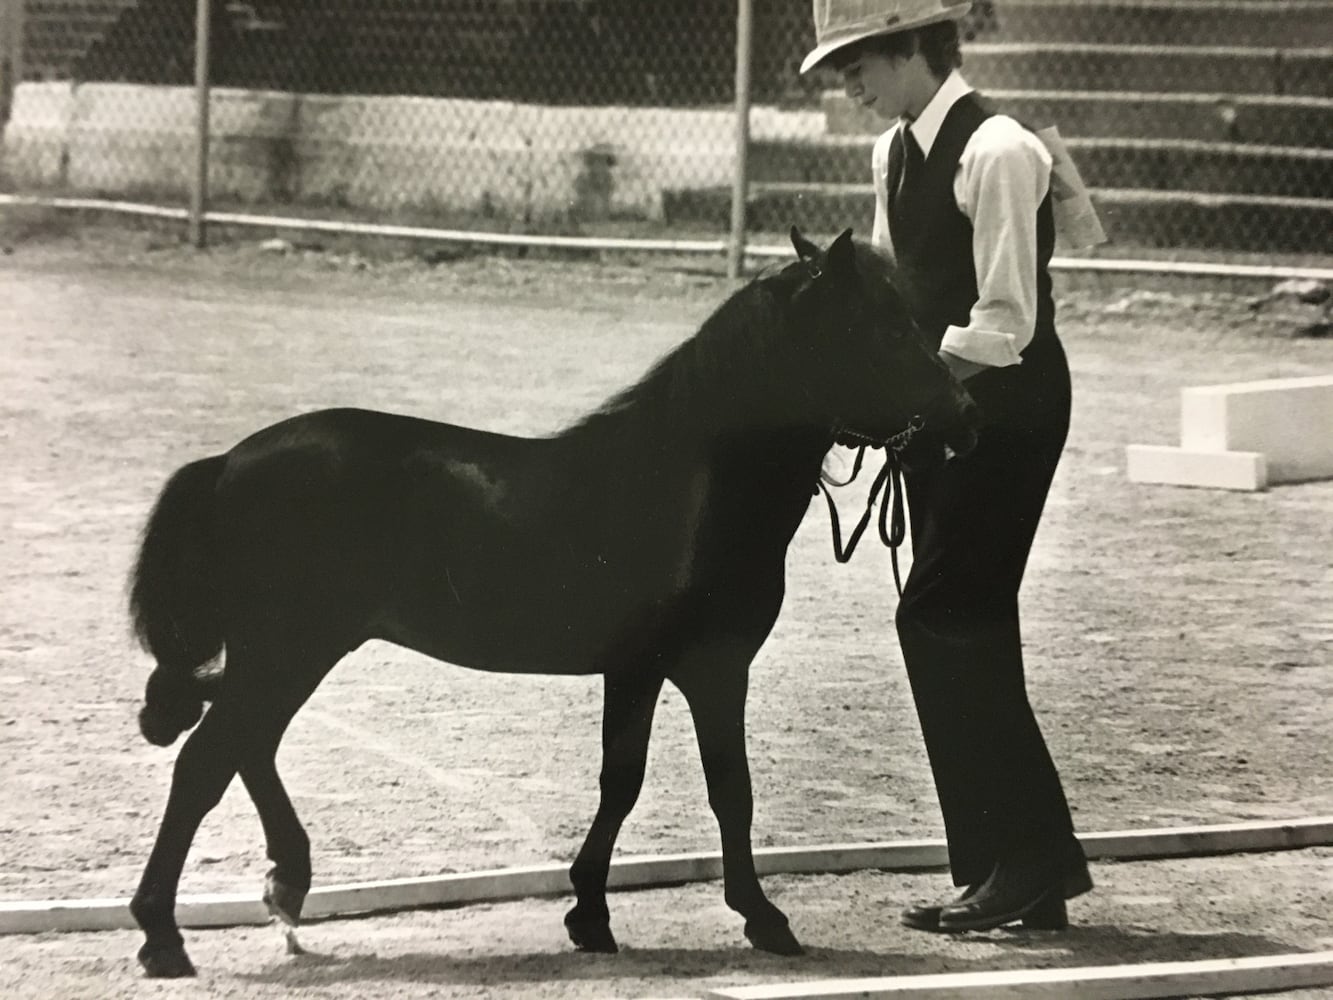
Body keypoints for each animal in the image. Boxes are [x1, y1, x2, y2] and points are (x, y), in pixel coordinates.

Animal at [127, 226, 981, 981]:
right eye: (882, 326)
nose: (962, 414)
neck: (686, 487)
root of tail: (226, 463)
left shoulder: (640, 673)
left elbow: (623, 783)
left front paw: (590, 915)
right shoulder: (706, 670)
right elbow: (723, 790)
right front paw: (761, 918)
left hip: (289, 654)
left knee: (246, 749)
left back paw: (285, 884)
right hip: (288, 651)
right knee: (207, 761)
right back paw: (163, 936)